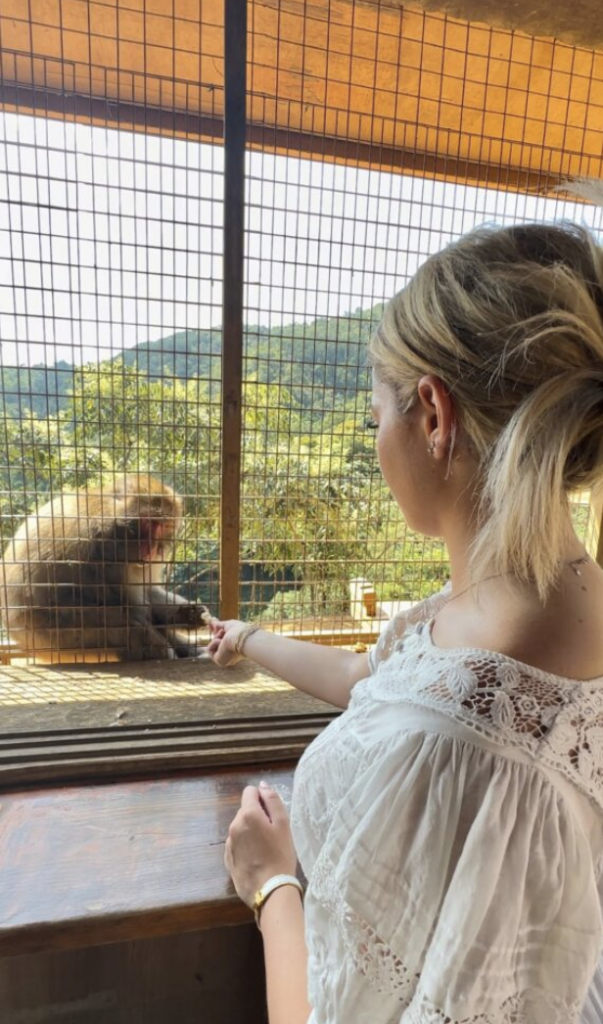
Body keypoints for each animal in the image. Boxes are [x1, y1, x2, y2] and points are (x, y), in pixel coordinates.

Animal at [0, 473, 211, 663]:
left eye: (164, 526)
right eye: (149, 522)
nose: (152, 548)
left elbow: (147, 593)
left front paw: (187, 613)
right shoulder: (109, 551)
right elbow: (134, 606)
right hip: (56, 637)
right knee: (126, 622)